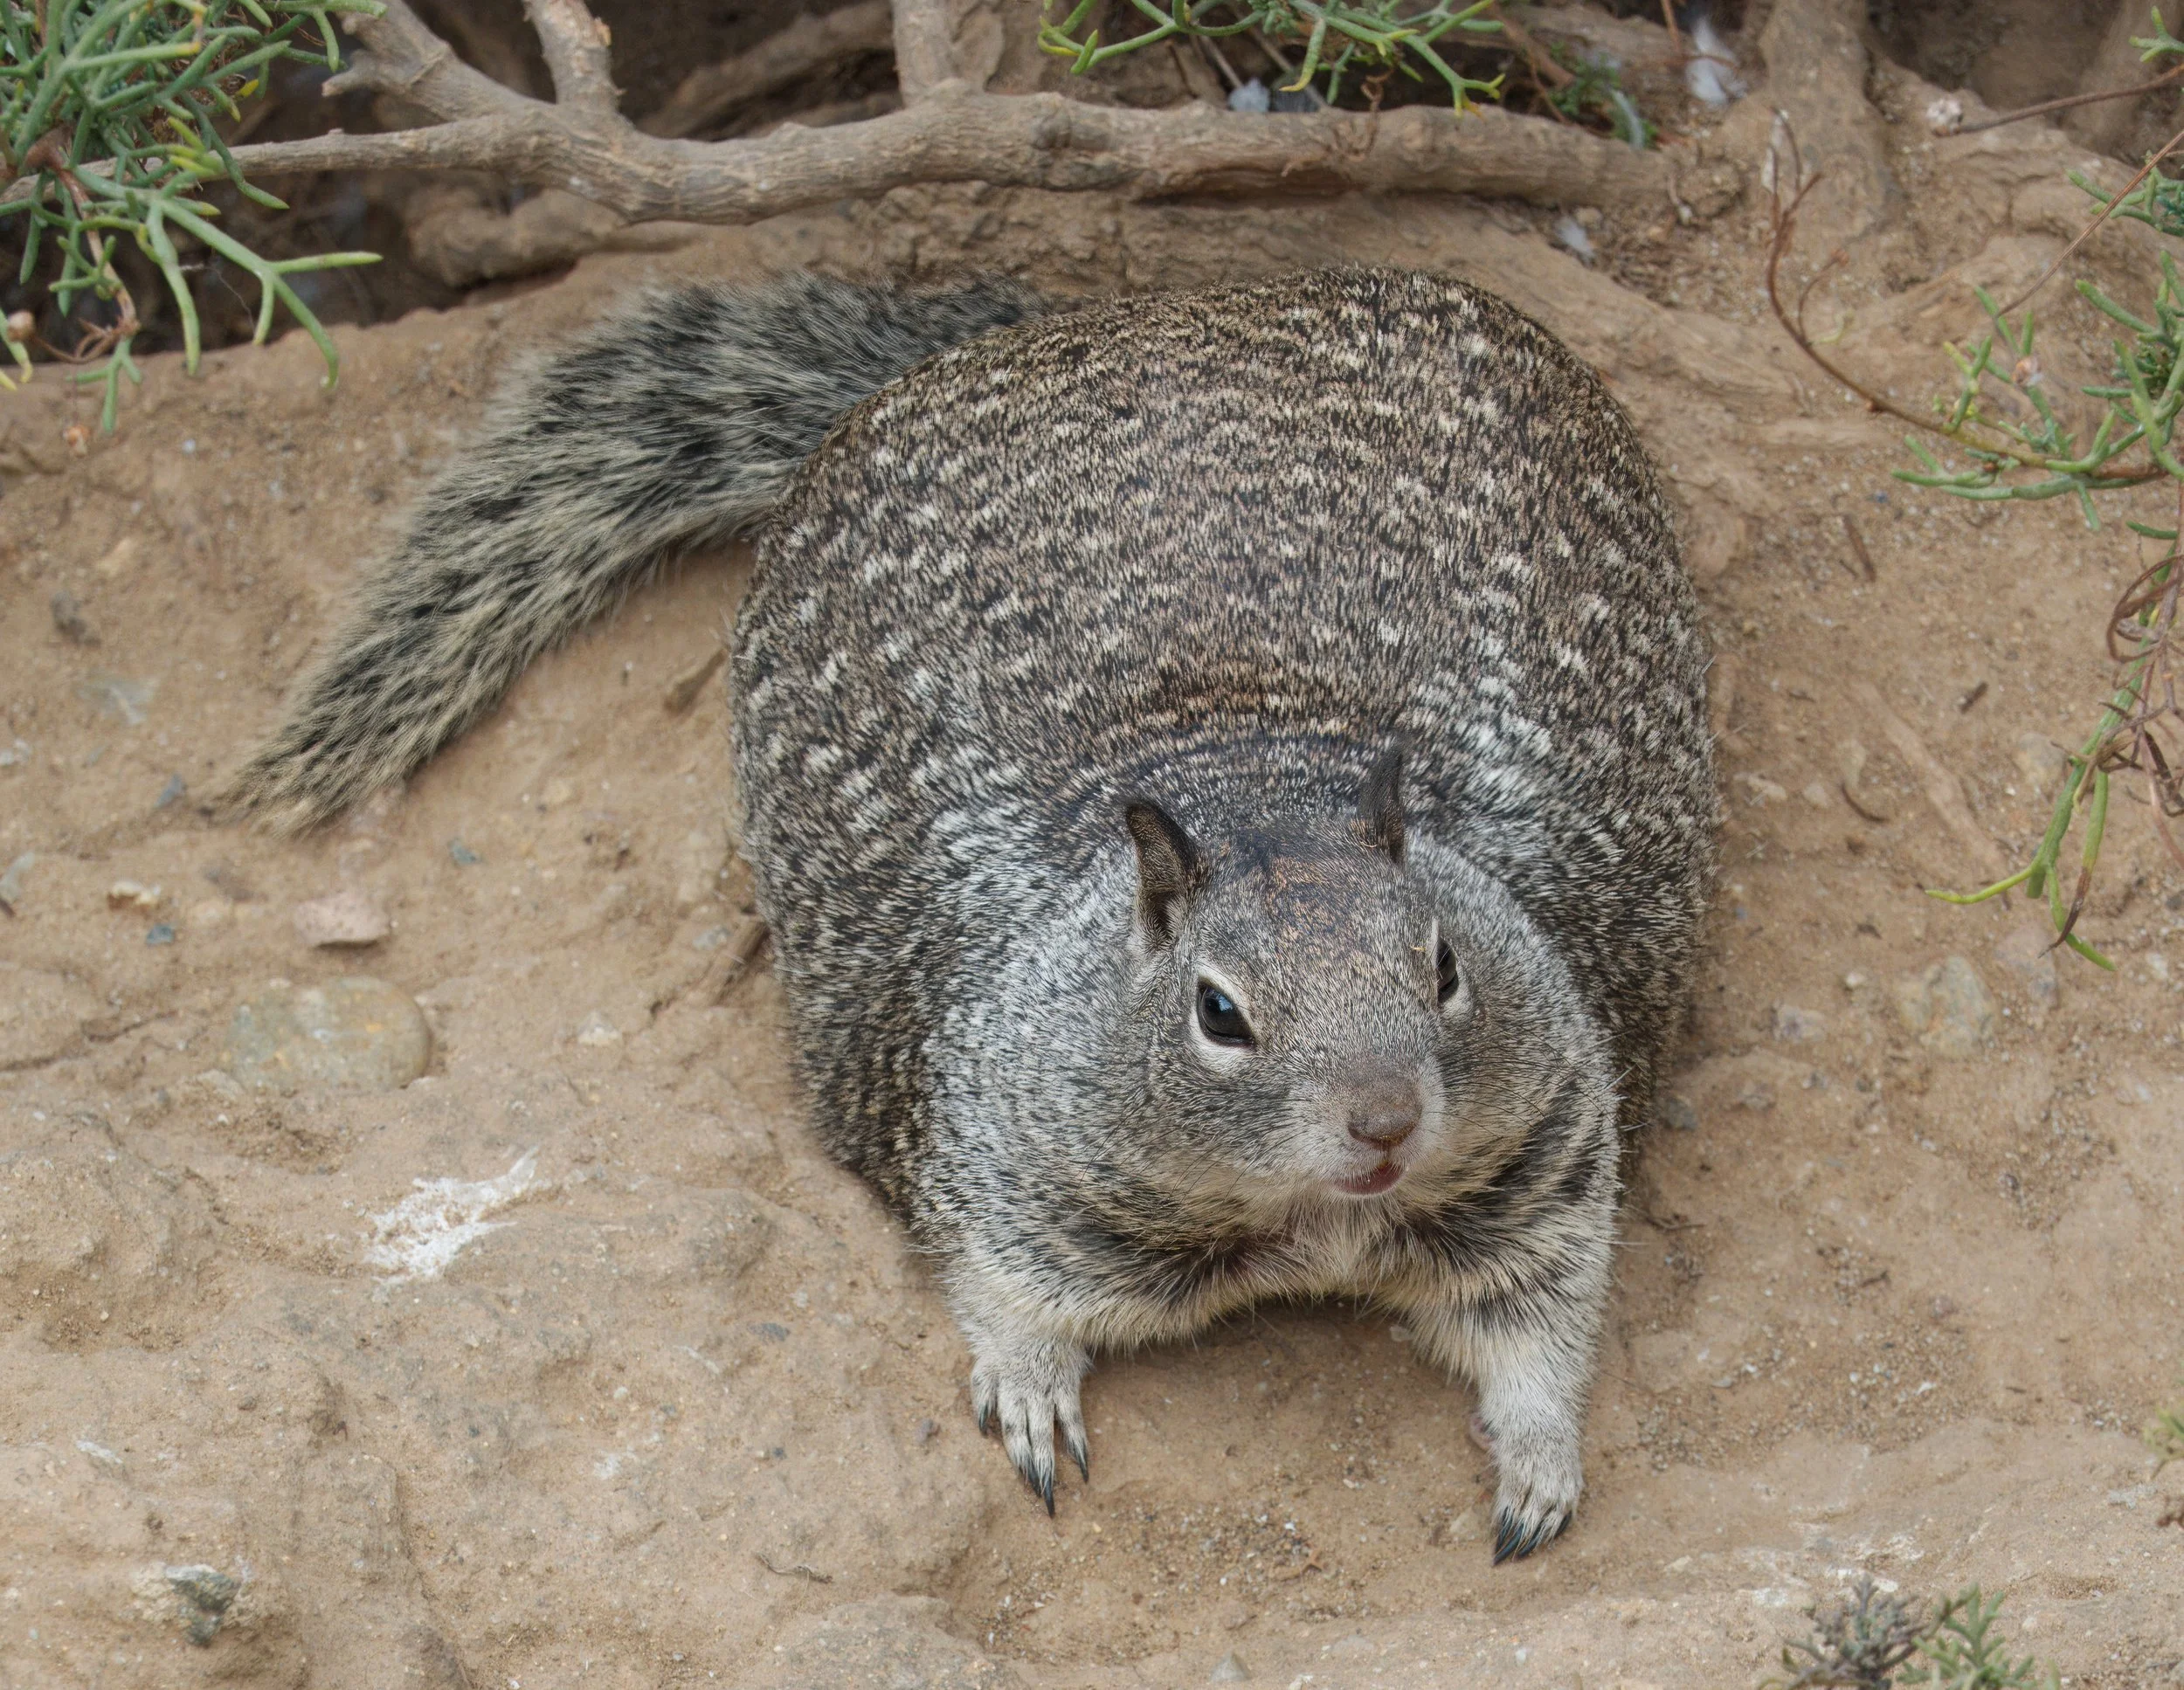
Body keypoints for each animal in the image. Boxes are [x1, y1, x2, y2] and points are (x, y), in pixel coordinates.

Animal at [226, 268, 1715, 1562]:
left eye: (1445, 960)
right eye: (1219, 1010)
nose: (1387, 1121)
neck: (1253, 758)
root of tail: (1120, 309)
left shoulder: (1555, 1147)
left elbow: (1544, 1327)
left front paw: (1540, 1463)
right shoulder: (998, 1155)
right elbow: (1002, 1289)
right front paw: (1032, 1393)